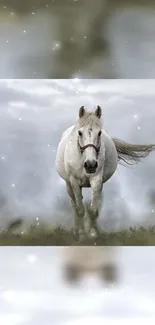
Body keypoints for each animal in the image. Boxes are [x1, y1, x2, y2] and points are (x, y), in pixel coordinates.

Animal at [55, 106, 155, 240]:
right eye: (80, 133)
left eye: (99, 133)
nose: (90, 165)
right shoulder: (74, 181)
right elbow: (80, 209)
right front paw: (81, 234)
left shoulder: (97, 180)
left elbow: (93, 209)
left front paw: (93, 233)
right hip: (68, 185)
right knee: (74, 205)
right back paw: (77, 231)